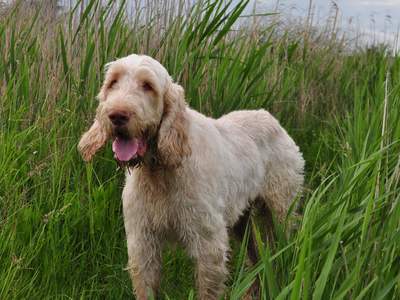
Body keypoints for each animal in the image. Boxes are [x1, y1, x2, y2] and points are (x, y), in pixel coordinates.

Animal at [77, 54, 304, 300]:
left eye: (147, 86)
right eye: (113, 82)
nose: (117, 115)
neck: (158, 172)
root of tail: (271, 118)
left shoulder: (209, 244)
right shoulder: (143, 244)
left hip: (281, 212)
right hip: (241, 221)